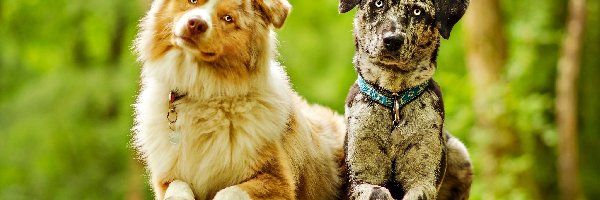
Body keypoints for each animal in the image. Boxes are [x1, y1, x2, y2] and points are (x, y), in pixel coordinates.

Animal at [132, 0, 346, 200]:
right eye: (193, 1)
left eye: (228, 18)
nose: (196, 24)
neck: (203, 94)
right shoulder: (167, 179)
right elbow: (178, 188)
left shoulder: (278, 181)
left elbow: (228, 192)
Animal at [340, 0, 472, 199]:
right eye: (378, 3)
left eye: (417, 11)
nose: (393, 40)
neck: (394, 99)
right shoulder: (360, 179)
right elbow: (378, 192)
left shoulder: (423, 179)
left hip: (460, 154)